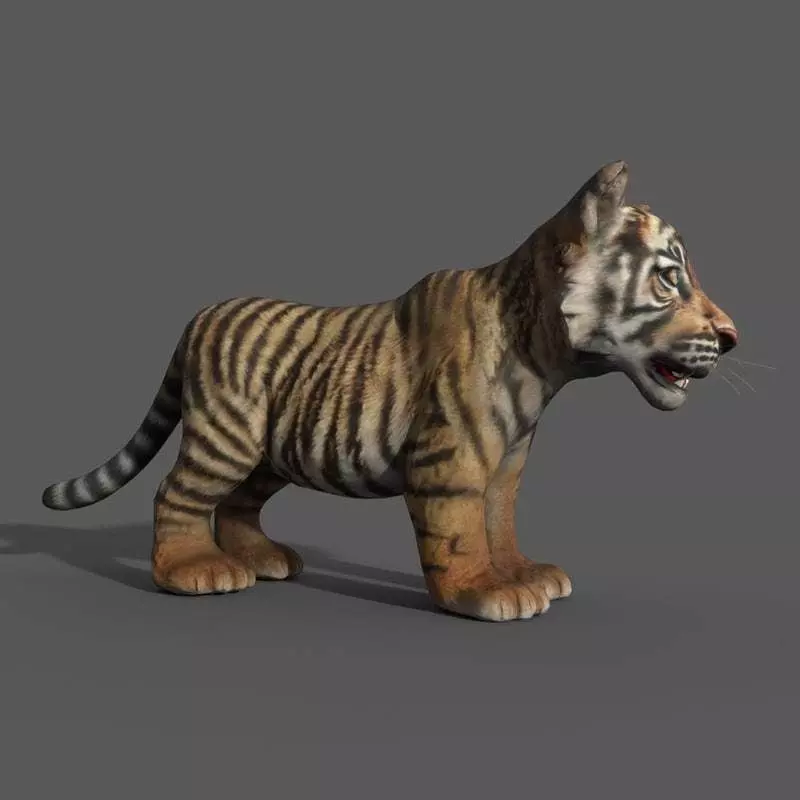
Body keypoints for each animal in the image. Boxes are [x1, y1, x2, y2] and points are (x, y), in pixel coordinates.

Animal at [41, 160, 738, 623]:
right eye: (670, 279)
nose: (732, 337)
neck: (545, 355)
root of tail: (200, 316)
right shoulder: (451, 458)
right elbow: (460, 529)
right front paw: (484, 592)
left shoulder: (507, 462)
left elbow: (499, 519)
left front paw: (523, 573)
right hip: (227, 436)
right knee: (177, 493)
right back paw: (194, 571)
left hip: (272, 450)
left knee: (237, 502)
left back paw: (263, 558)